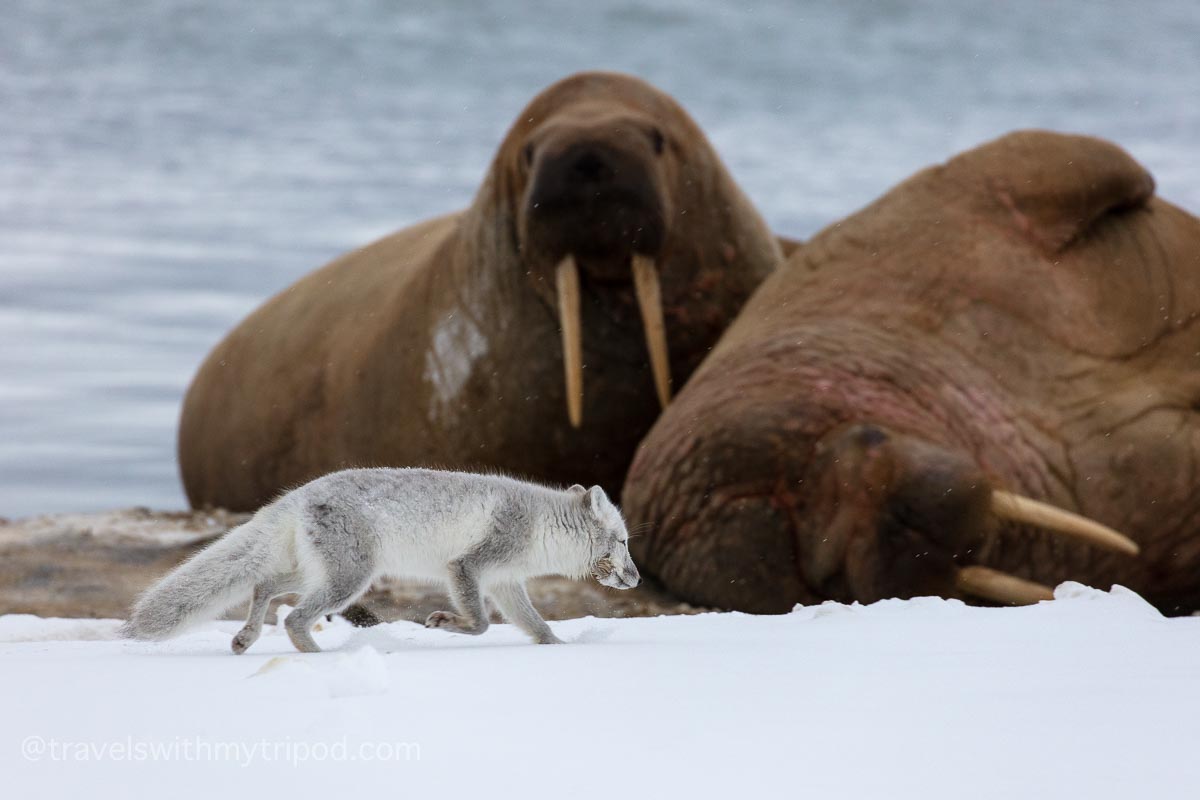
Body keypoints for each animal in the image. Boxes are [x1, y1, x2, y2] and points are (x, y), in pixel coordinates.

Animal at [123, 470, 643, 652]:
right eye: (622, 542)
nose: (637, 579)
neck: (540, 528)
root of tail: (297, 495)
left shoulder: (505, 583)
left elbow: (536, 626)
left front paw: (558, 649)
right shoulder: (468, 568)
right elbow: (479, 625)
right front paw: (443, 623)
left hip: (324, 573)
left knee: (264, 586)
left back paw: (246, 638)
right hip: (349, 580)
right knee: (292, 618)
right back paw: (315, 656)